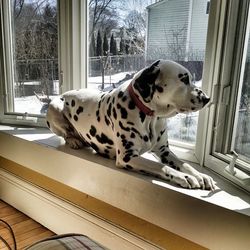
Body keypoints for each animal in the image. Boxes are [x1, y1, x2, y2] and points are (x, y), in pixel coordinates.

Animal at [47, 60, 216, 189]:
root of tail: (64, 93)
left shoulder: (164, 151)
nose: (207, 98)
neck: (149, 117)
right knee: (65, 134)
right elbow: (160, 166)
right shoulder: (127, 157)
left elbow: (184, 164)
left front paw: (200, 175)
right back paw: (74, 140)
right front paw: (186, 177)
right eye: (184, 79)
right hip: (55, 108)